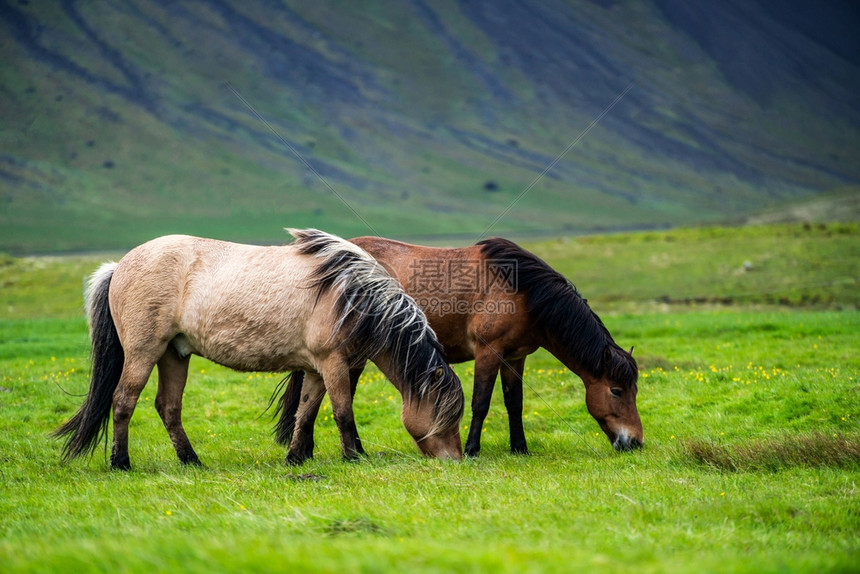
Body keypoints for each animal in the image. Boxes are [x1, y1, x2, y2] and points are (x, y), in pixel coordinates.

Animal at [54, 227, 464, 470]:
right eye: (445, 414)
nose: (457, 459)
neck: (353, 296)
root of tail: (119, 265)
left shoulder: (316, 369)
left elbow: (306, 413)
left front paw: (295, 458)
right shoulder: (334, 365)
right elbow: (343, 412)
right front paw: (354, 457)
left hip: (174, 355)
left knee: (168, 408)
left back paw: (192, 461)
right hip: (143, 353)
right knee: (123, 401)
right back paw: (121, 463)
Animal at [276, 236, 640, 456]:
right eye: (617, 391)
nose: (634, 442)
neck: (522, 292)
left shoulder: (515, 359)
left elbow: (515, 404)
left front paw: (519, 448)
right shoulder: (488, 353)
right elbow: (481, 403)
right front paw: (472, 449)